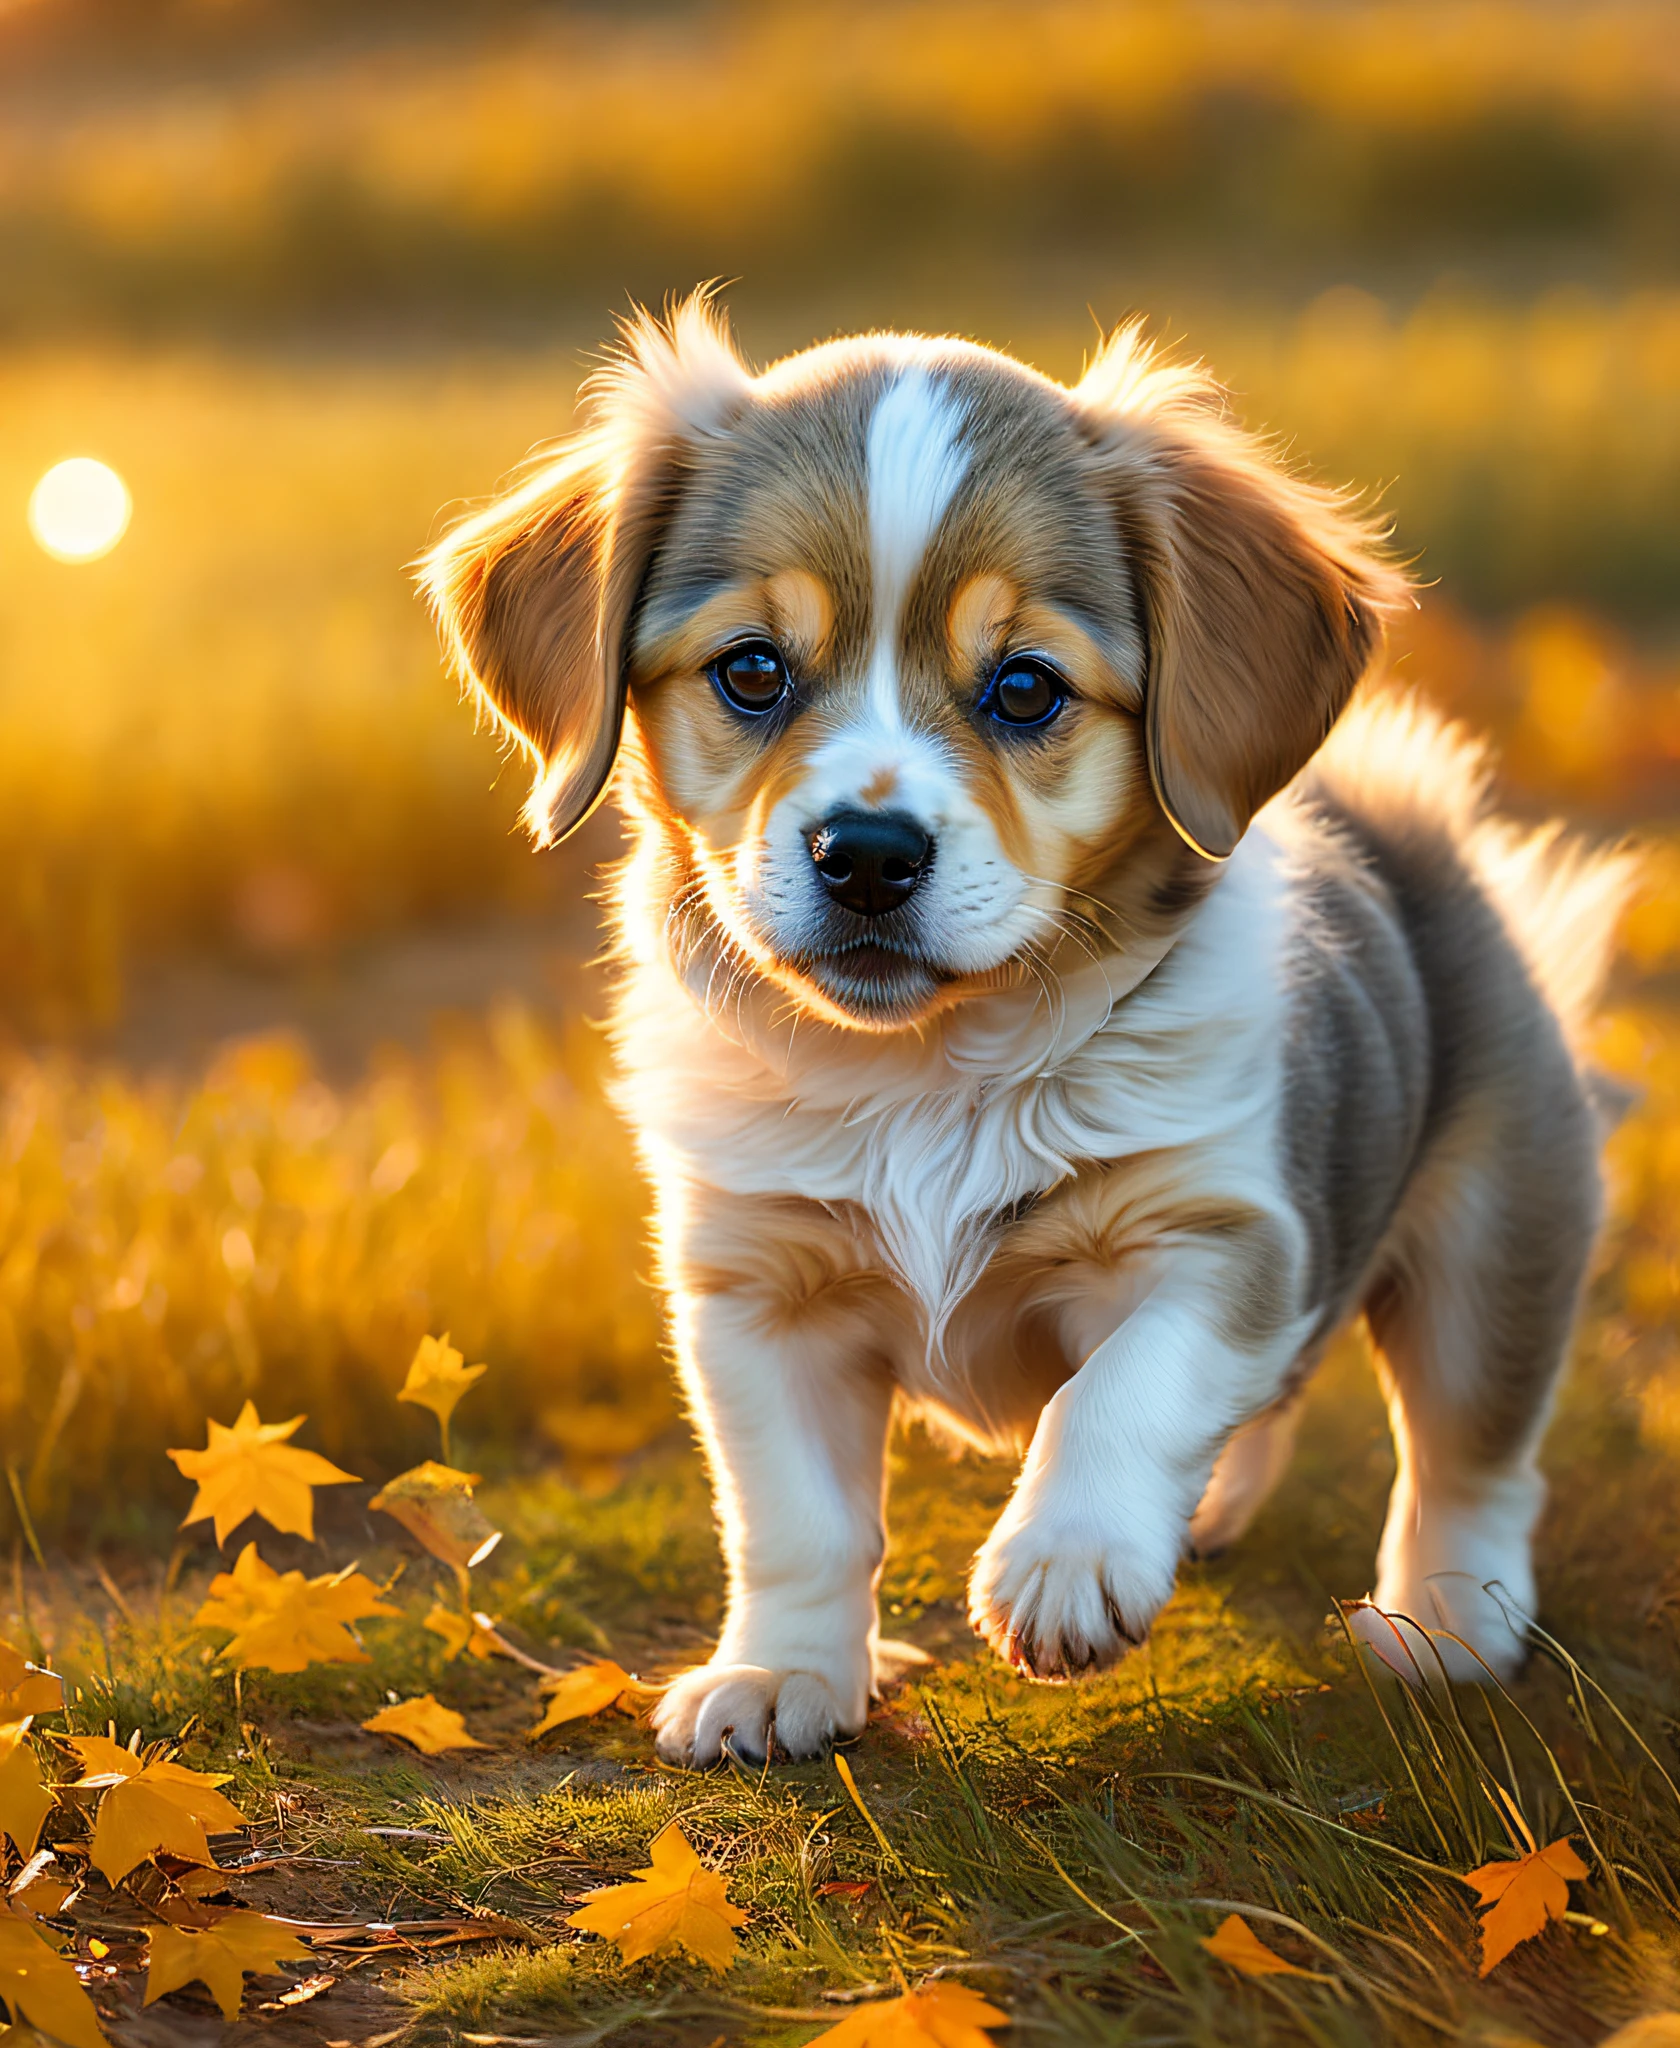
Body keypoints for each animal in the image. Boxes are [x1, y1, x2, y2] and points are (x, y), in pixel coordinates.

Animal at [415, 296, 1630, 1769]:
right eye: (753, 672)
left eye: (1027, 689)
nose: (867, 854)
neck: (929, 1072)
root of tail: (1421, 839)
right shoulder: (756, 1294)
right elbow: (795, 1520)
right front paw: (783, 1672)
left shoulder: (1222, 1238)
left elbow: (1121, 1392)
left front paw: (1068, 1556)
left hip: (1496, 1235)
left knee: (1472, 1452)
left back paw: (1447, 1616)